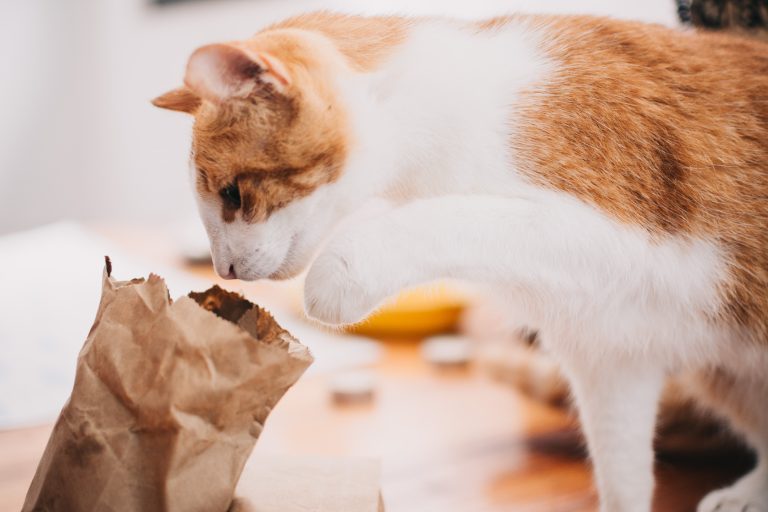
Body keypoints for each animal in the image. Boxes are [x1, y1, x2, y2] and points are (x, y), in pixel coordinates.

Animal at [154, 11, 768, 512]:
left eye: (232, 194)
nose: (224, 269)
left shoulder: (617, 239)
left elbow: (448, 220)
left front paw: (339, 277)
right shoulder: (610, 356)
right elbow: (623, 477)